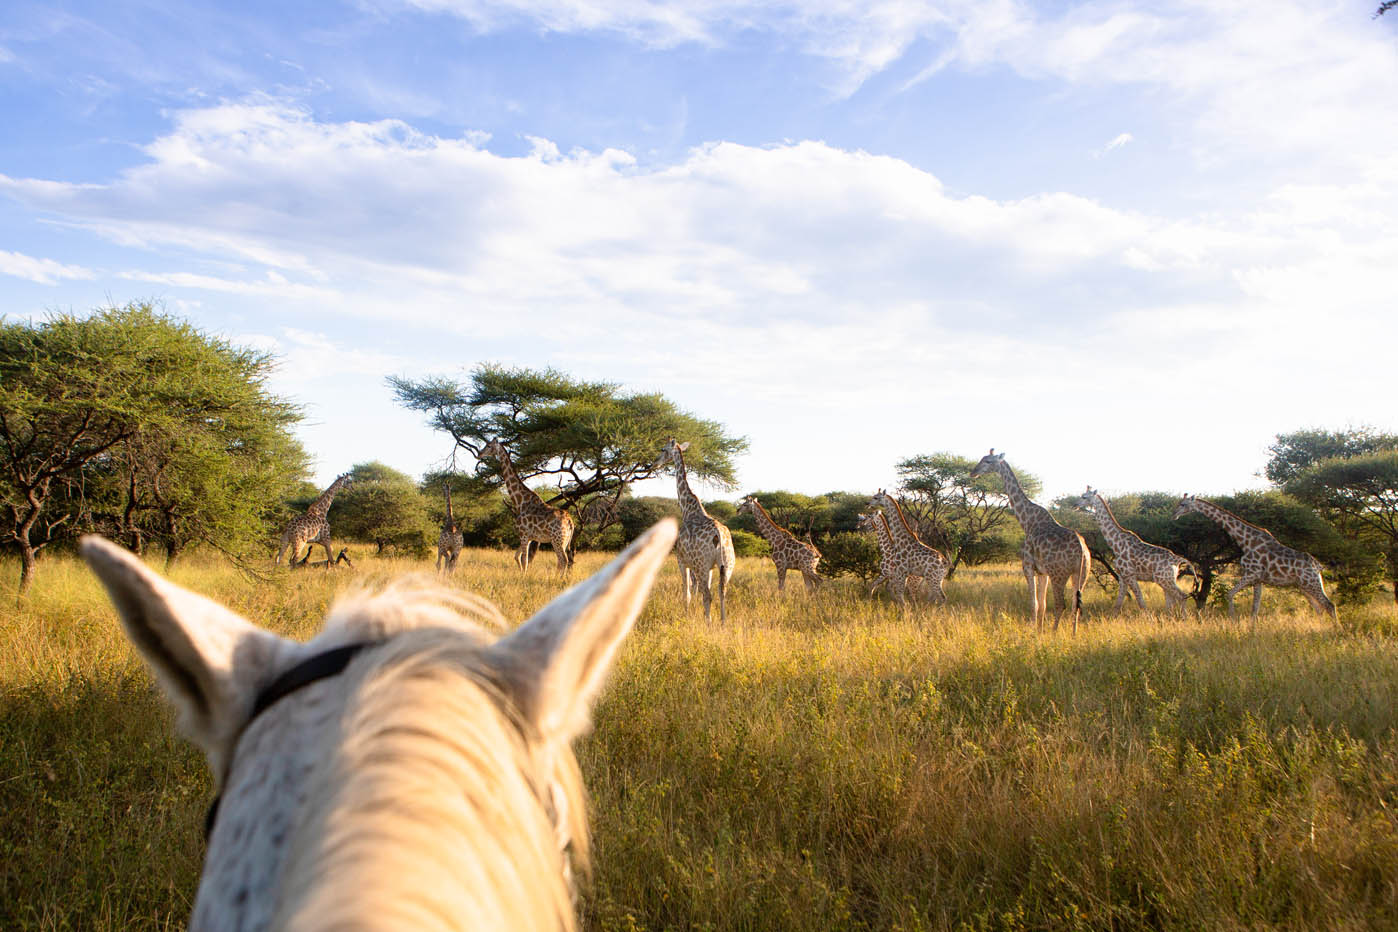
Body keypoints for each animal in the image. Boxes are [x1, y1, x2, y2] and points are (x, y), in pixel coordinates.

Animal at [480, 439, 574, 575]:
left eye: (488, 446)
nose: (479, 454)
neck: (520, 502)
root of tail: (570, 522)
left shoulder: (524, 534)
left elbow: (524, 560)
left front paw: (523, 576)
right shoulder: (528, 537)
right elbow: (517, 556)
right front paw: (522, 575)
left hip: (557, 539)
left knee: (564, 560)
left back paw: (559, 578)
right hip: (564, 540)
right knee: (561, 560)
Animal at [653, 438, 736, 622]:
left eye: (663, 449)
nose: (654, 463)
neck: (688, 508)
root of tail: (719, 536)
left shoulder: (681, 560)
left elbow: (687, 592)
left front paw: (686, 614)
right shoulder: (711, 568)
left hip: (700, 565)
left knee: (708, 595)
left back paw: (709, 623)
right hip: (726, 565)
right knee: (722, 592)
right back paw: (723, 622)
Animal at [969, 450, 1090, 633]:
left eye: (988, 461)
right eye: (982, 459)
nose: (973, 472)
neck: (1027, 521)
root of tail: (1082, 550)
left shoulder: (1027, 566)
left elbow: (1034, 603)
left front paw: (1033, 632)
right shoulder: (1042, 572)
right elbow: (1043, 604)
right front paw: (1039, 631)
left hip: (1059, 574)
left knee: (1061, 604)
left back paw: (1054, 634)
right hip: (1081, 574)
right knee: (1075, 604)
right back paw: (1073, 635)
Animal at [1075, 487, 1199, 618]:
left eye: (1084, 497)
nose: (1075, 504)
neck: (1115, 544)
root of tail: (1177, 560)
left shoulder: (1130, 575)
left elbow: (1140, 601)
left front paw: (1149, 619)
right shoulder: (1122, 576)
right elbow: (1118, 603)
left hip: (1164, 580)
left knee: (1182, 596)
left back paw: (1184, 619)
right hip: (1168, 580)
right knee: (1171, 602)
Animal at [1173, 494, 1336, 620]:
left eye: (1183, 504)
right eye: (1178, 503)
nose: (1174, 515)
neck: (1245, 541)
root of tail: (1318, 566)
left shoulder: (1251, 574)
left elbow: (1229, 594)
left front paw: (1233, 621)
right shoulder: (1258, 579)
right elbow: (1254, 608)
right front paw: (1251, 631)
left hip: (1311, 582)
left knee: (1329, 605)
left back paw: (1335, 632)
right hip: (1303, 585)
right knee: (1319, 608)